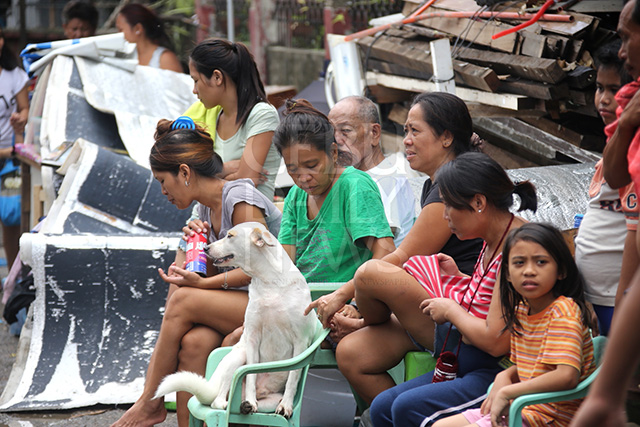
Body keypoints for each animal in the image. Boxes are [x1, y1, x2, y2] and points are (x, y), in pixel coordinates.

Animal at [153, 222, 318, 416]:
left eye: (230, 236)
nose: (206, 248)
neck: (270, 282)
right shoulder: (253, 339)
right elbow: (251, 374)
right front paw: (251, 400)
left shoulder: (301, 342)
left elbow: (293, 377)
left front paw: (286, 405)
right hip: (239, 356)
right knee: (219, 400)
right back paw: (237, 403)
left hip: (269, 400)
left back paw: (245, 406)